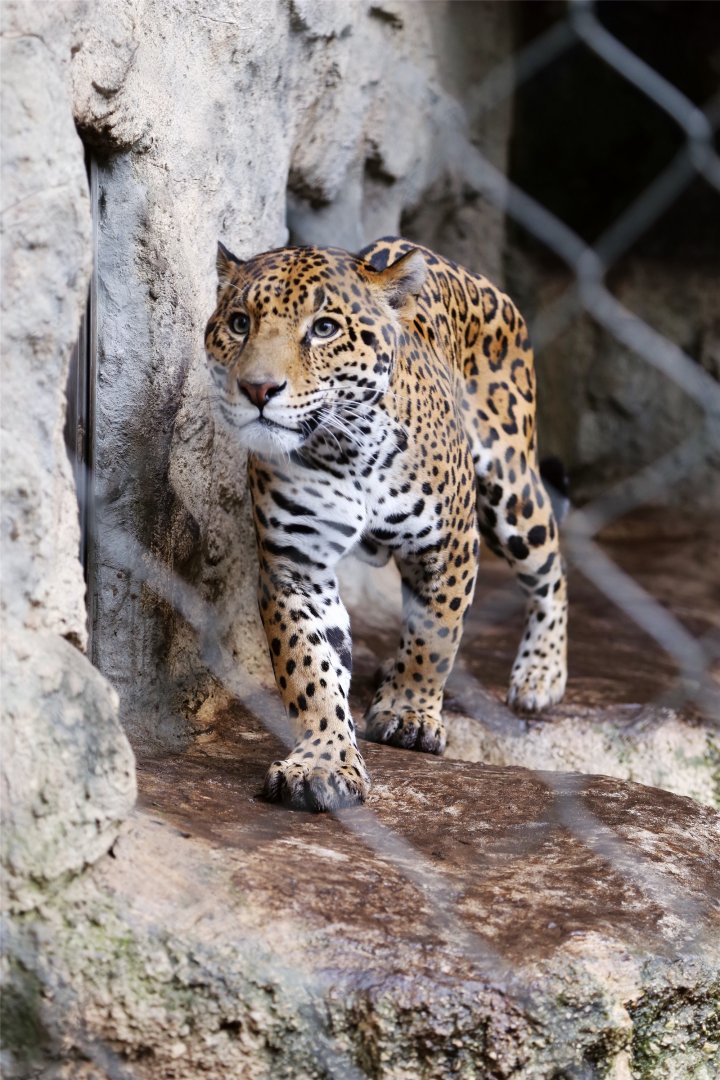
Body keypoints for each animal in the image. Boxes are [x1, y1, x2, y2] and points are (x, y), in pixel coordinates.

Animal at [204, 236, 568, 812]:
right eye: (240, 323)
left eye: (324, 328)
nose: (258, 389)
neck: (344, 450)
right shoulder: (295, 568)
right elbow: (310, 669)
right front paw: (323, 762)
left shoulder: (451, 545)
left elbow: (434, 638)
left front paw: (409, 714)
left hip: (512, 487)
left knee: (550, 564)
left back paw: (540, 674)